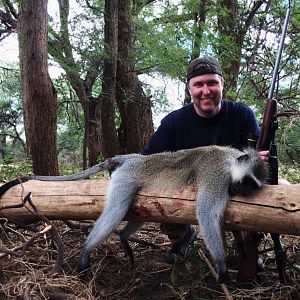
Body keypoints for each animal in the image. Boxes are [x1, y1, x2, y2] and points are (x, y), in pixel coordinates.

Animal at [0, 145, 268, 284]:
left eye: (251, 187)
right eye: (247, 181)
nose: (241, 191)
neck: (229, 159)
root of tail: (134, 159)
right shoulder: (216, 177)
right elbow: (206, 211)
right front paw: (221, 265)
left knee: (138, 212)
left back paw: (124, 238)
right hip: (126, 178)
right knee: (116, 209)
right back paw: (86, 251)